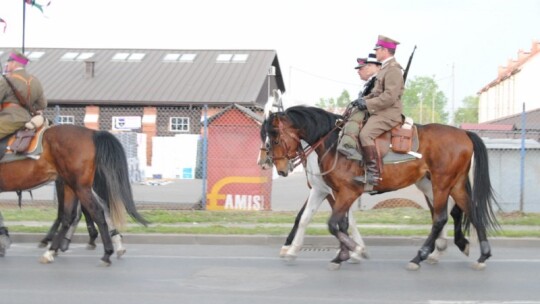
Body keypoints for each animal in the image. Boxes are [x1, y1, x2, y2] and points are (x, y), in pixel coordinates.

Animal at [0, 123, 148, 264]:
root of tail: (92, 133)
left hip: (78, 186)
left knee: (96, 211)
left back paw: (106, 252)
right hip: (73, 185)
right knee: (72, 215)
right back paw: (53, 250)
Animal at [262, 105, 498, 270]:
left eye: (274, 138)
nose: (279, 169)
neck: (333, 144)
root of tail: (464, 134)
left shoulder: (346, 192)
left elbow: (333, 224)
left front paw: (355, 251)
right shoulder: (330, 192)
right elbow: (331, 222)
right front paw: (343, 255)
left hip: (441, 184)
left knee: (440, 218)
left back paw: (420, 256)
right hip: (452, 185)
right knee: (470, 211)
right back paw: (481, 255)